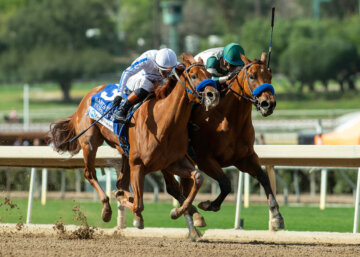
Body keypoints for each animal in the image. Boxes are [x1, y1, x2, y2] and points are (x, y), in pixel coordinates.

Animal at [47, 52, 219, 230]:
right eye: (194, 75)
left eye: (209, 74)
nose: (213, 95)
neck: (164, 123)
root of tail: (87, 96)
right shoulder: (138, 164)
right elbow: (138, 204)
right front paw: (132, 210)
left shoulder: (171, 162)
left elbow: (197, 178)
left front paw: (180, 211)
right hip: (90, 143)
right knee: (90, 173)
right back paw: (107, 209)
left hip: (124, 152)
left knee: (121, 183)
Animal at [160, 51, 284, 229]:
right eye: (252, 76)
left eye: (270, 76)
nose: (268, 104)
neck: (229, 120)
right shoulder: (205, 159)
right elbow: (225, 184)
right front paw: (209, 204)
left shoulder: (244, 158)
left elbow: (264, 178)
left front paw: (276, 215)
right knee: (173, 188)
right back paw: (191, 213)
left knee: (185, 187)